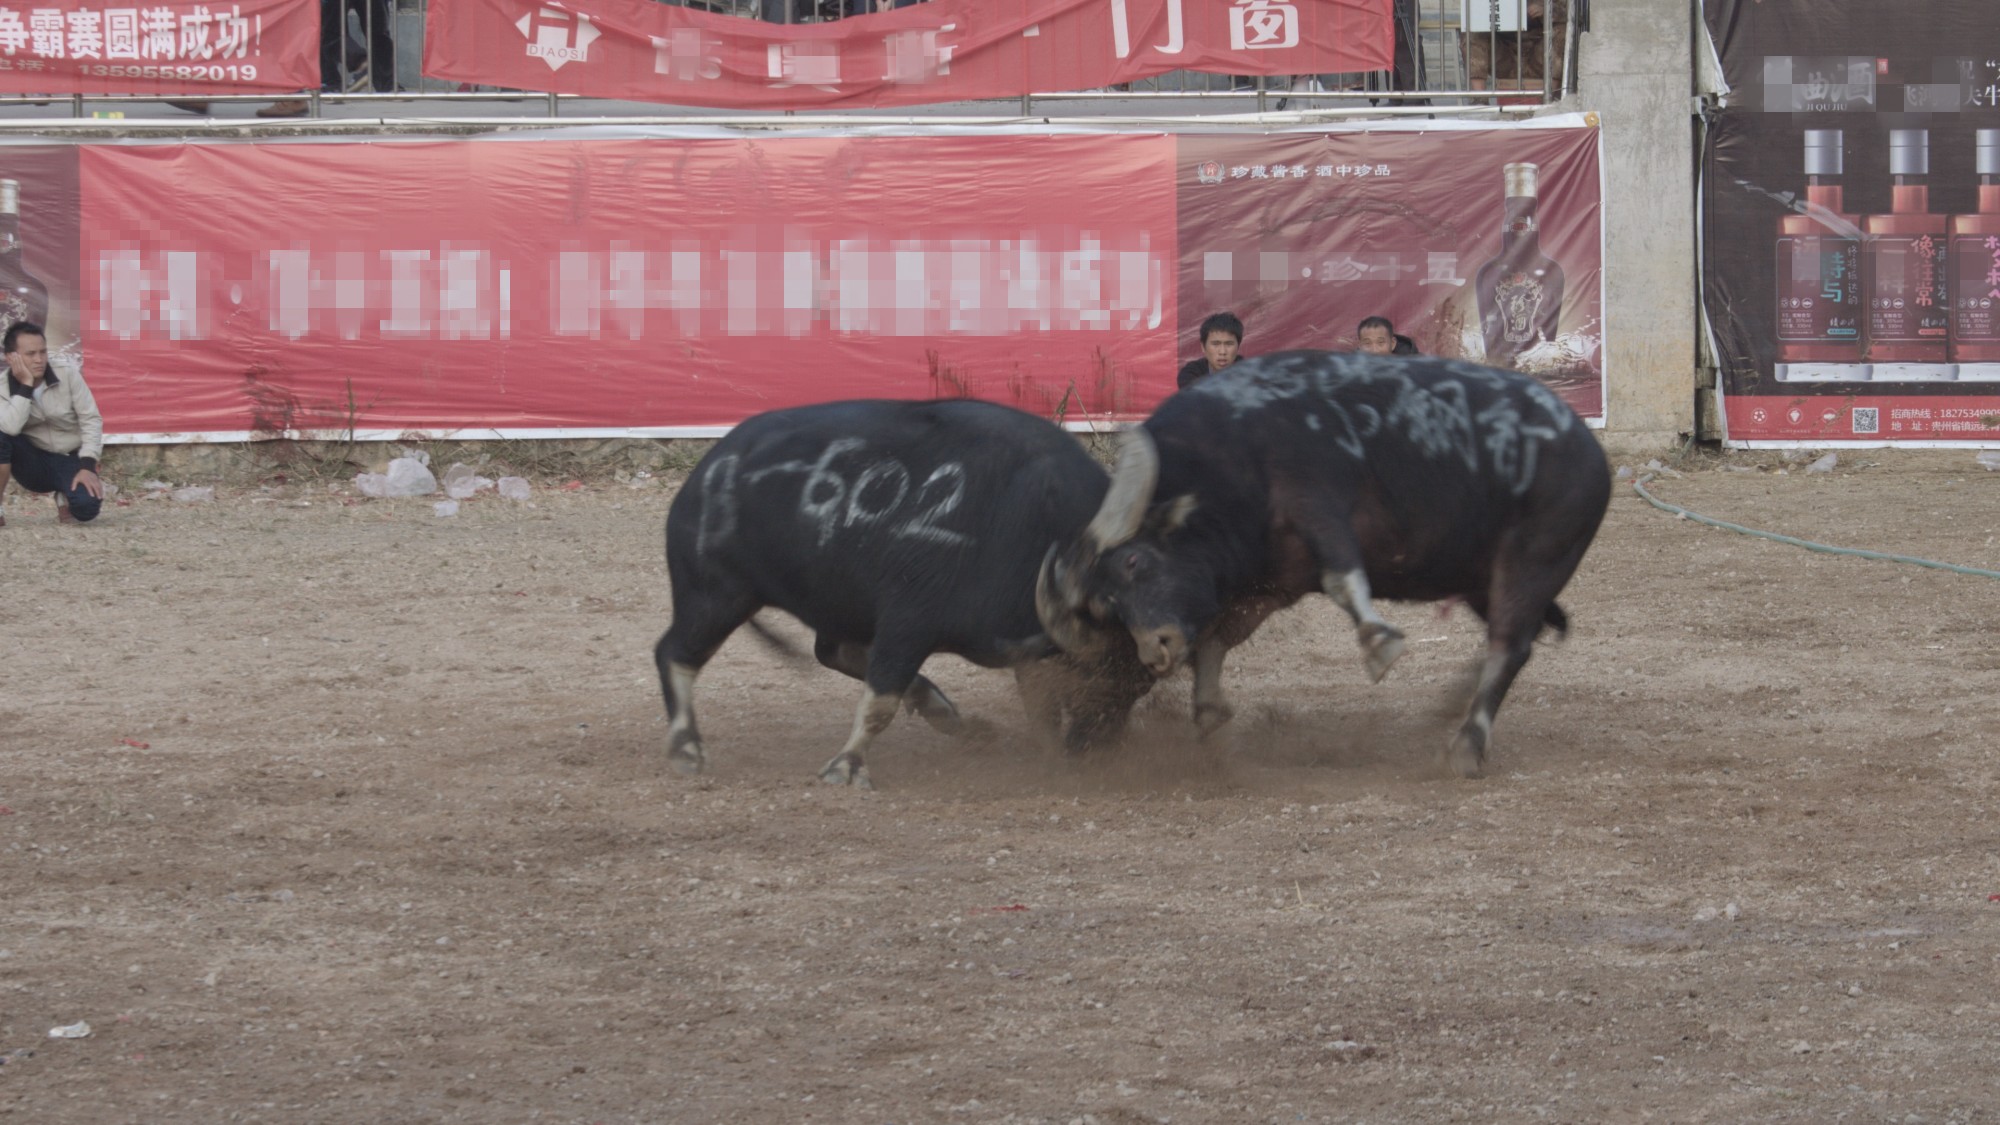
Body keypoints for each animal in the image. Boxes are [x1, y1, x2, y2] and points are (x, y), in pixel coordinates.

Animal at [660, 398, 1160, 784]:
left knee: (833, 651)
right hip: (714, 597)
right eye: (1097, 677)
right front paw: (846, 766)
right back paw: (685, 748)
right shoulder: (908, 623)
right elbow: (881, 701)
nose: (1096, 747)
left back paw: (950, 715)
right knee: (674, 653)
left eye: (1140, 685)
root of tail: (708, 469)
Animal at [1032, 354, 1608, 776]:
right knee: (1517, 639)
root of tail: (1587, 448)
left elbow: (1342, 579)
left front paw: (1379, 642)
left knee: (1510, 645)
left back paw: (1466, 745)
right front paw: (1210, 708)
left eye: (1133, 560)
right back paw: (1454, 705)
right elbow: (1217, 637)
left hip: (1532, 562)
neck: (1230, 450)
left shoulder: (1317, 508)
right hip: (1480, 582)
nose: (1155, 649)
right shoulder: (1267, 582)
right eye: (1105, 607)